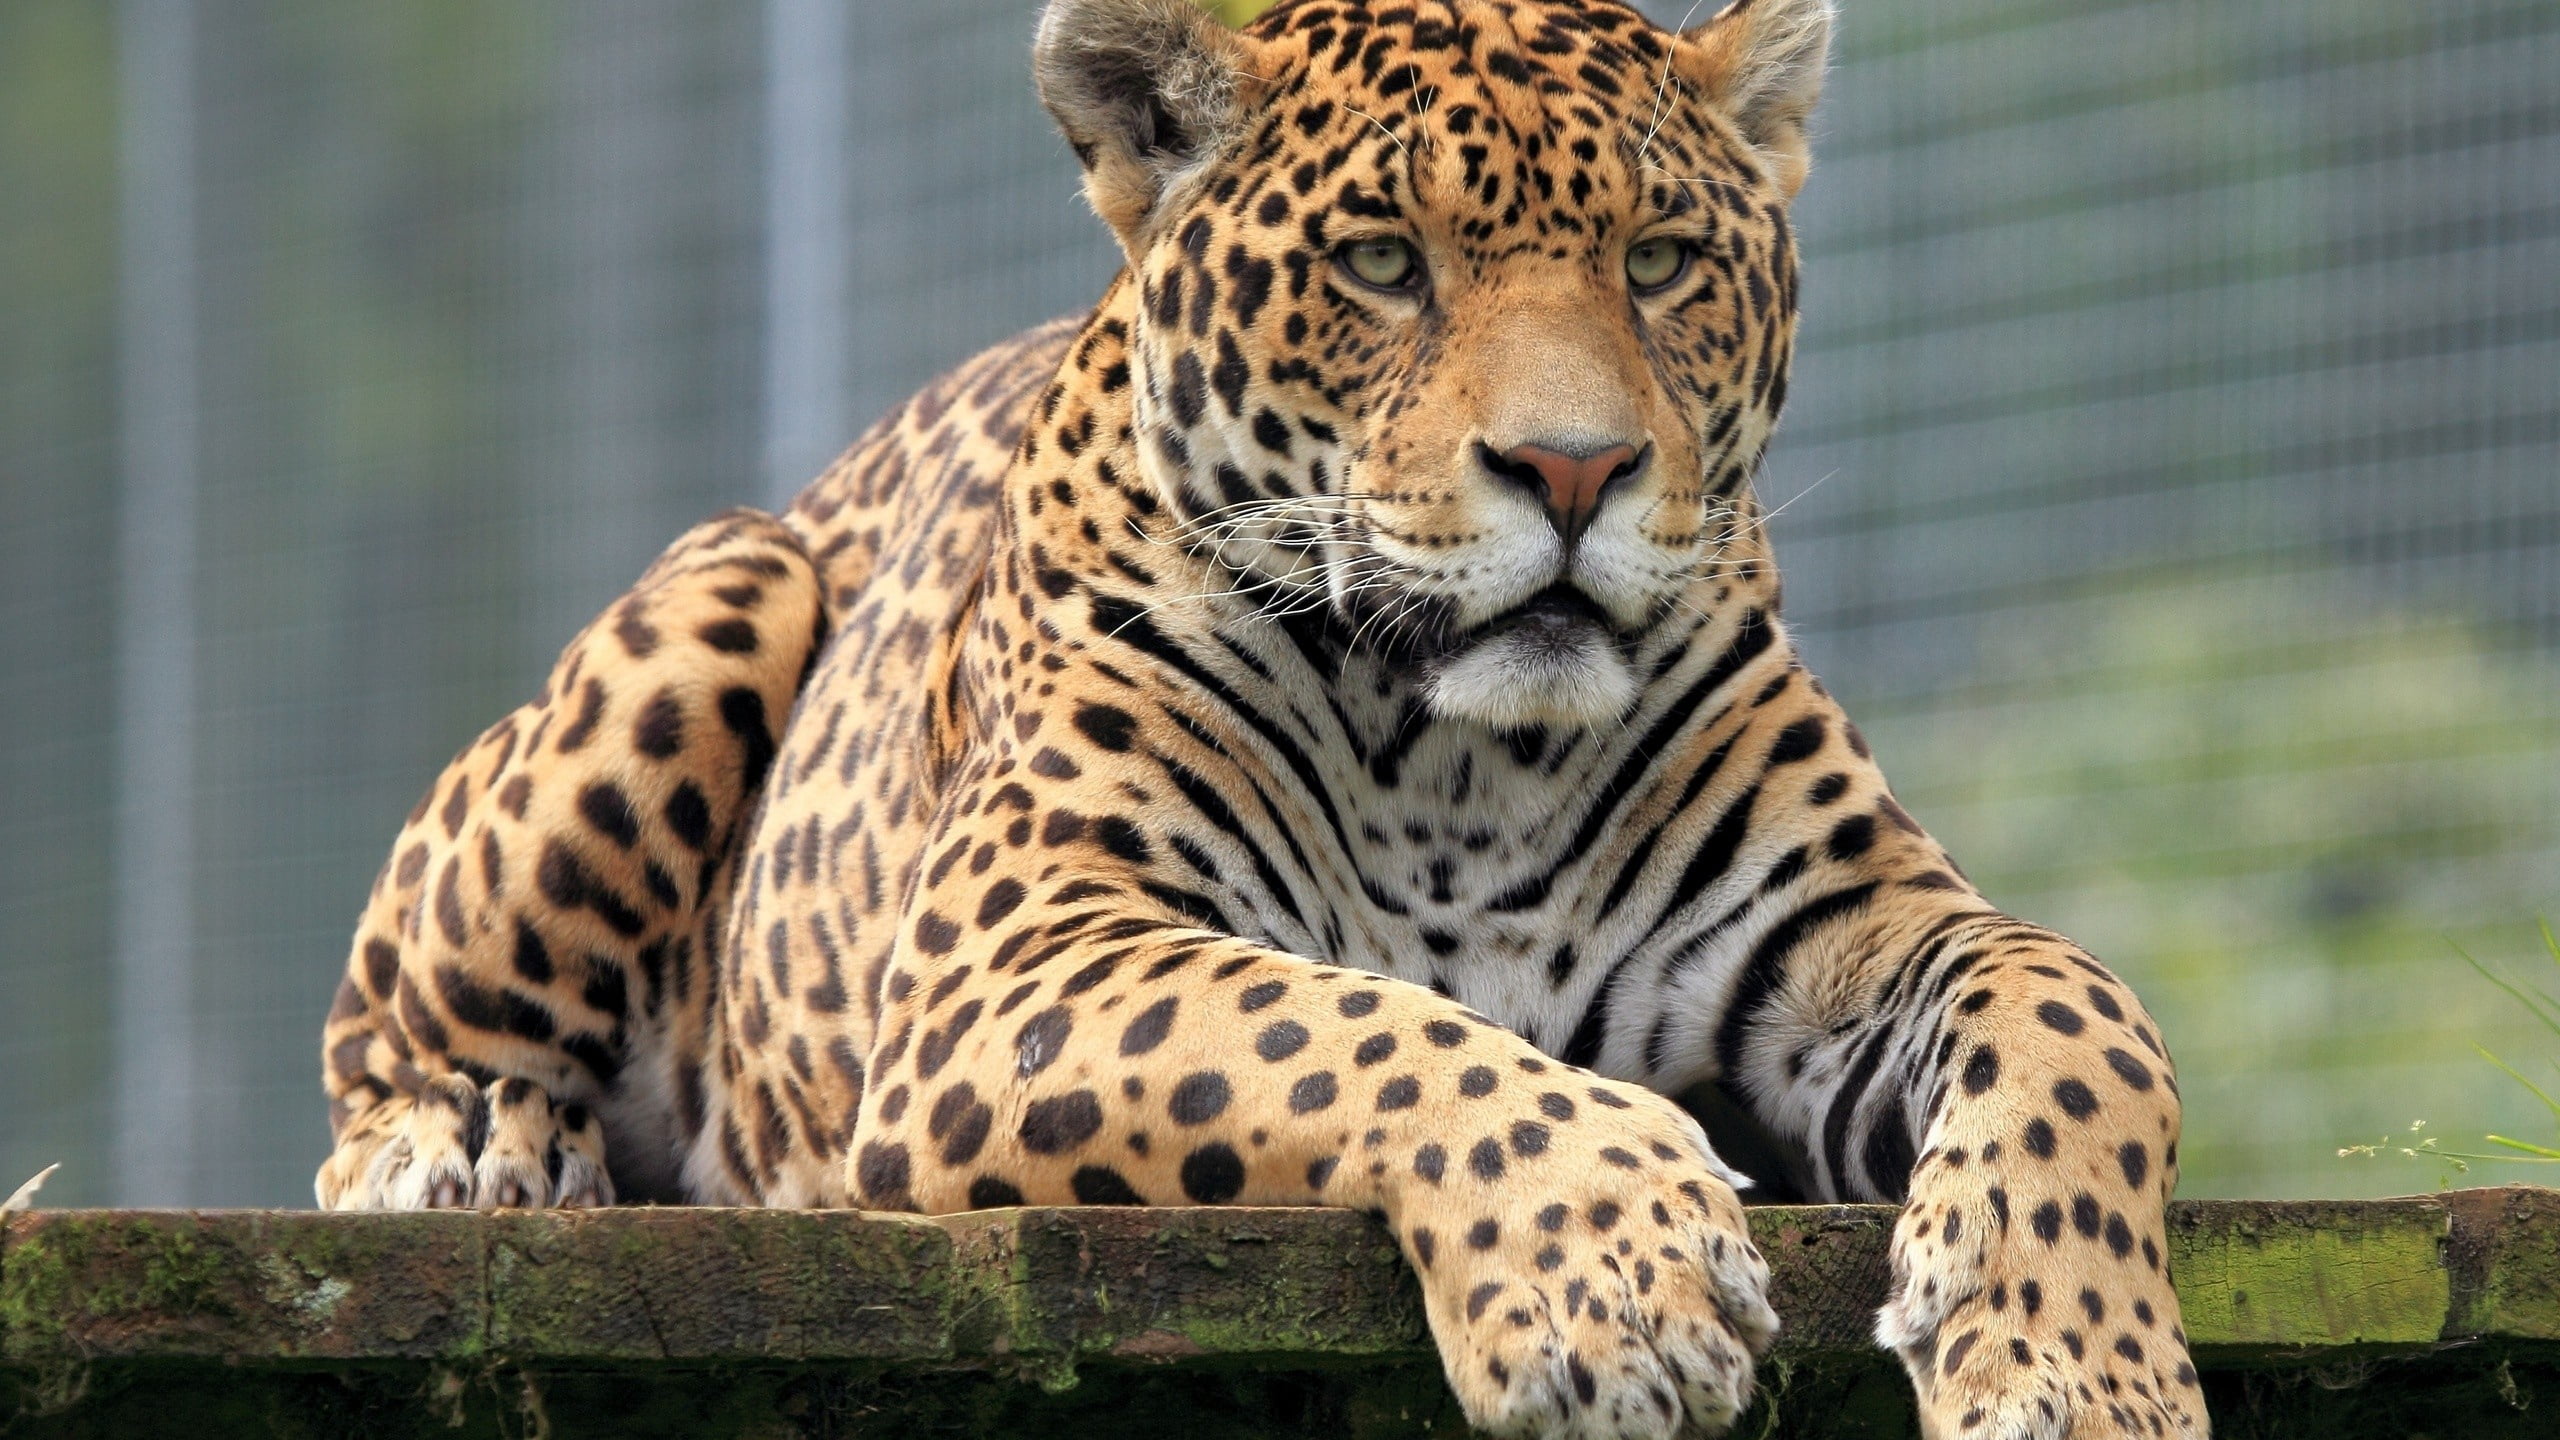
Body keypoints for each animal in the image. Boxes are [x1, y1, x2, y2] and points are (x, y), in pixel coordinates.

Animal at [314, 1, 2205, 1435]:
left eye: (1663, 262)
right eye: (1382, 263)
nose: (1575, 470)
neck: (1466, 758)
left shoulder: (1848, 932)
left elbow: (2083, 1016)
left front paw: (2077, 1368)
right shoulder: (1019, 955)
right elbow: (1353, 1022)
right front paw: (1611, 1278)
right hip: (731, 586)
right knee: (379, 1054)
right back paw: (467, 1144)